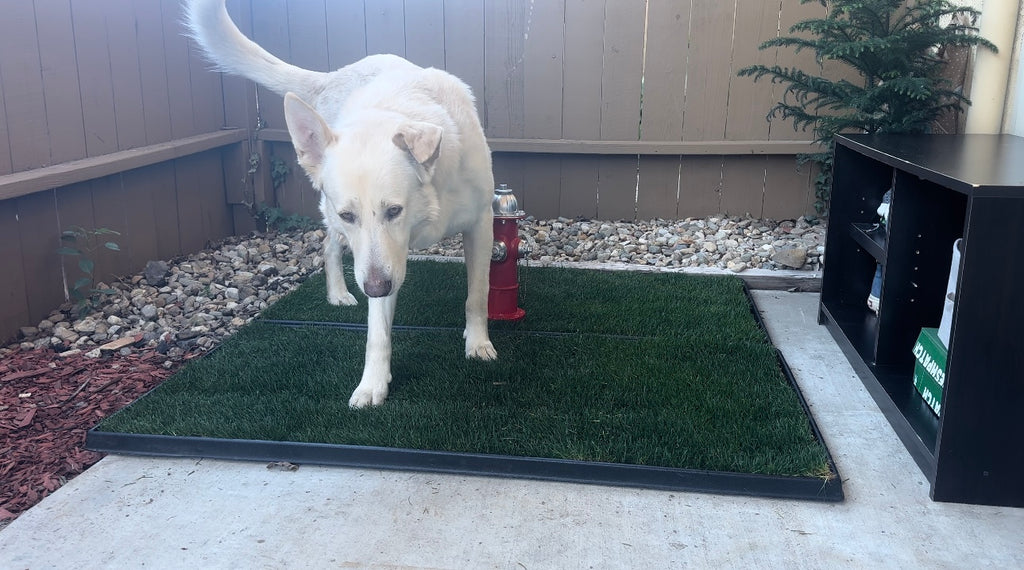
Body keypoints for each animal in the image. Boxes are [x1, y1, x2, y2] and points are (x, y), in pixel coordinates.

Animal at [188, 2, 499, 407]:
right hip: (334, 224)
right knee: (329, 246)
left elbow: (478, 295)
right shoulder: (374, 260)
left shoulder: (479, 224)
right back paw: (337, 292)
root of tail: (330, 77)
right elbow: (377, 332)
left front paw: (478, 344)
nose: (375, 289)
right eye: (350, 214)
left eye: (394, 211)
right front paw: (373, 383)